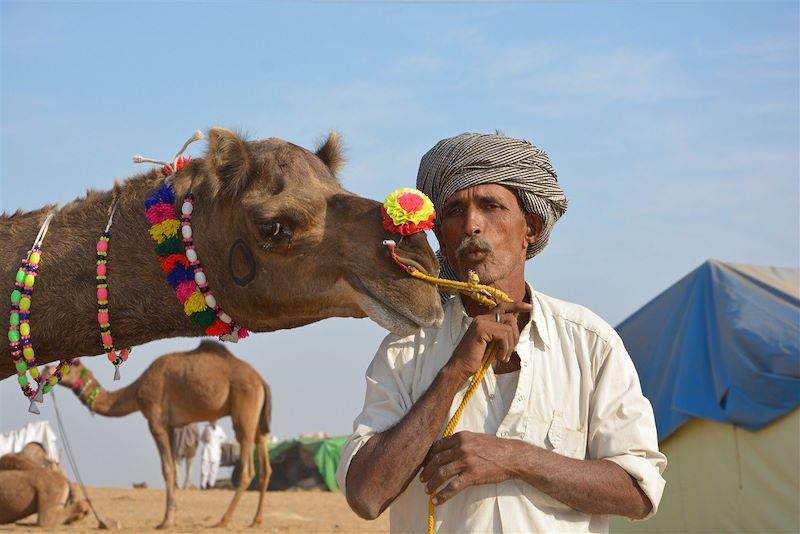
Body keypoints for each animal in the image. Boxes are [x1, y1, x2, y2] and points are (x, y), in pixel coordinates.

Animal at [53, 342, 272, 528]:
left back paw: (224, 520)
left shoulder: (155, 421)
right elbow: (173, 468)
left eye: (70, 364)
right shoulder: (172, 426)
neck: (137, 391)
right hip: (258, 420)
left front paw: (165, 521)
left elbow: (166, 469)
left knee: (247, 469)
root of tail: (262, 381)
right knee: (265, 465)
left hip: (244, 409)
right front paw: (172, 517)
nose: (49, 371)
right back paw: (256, 520)